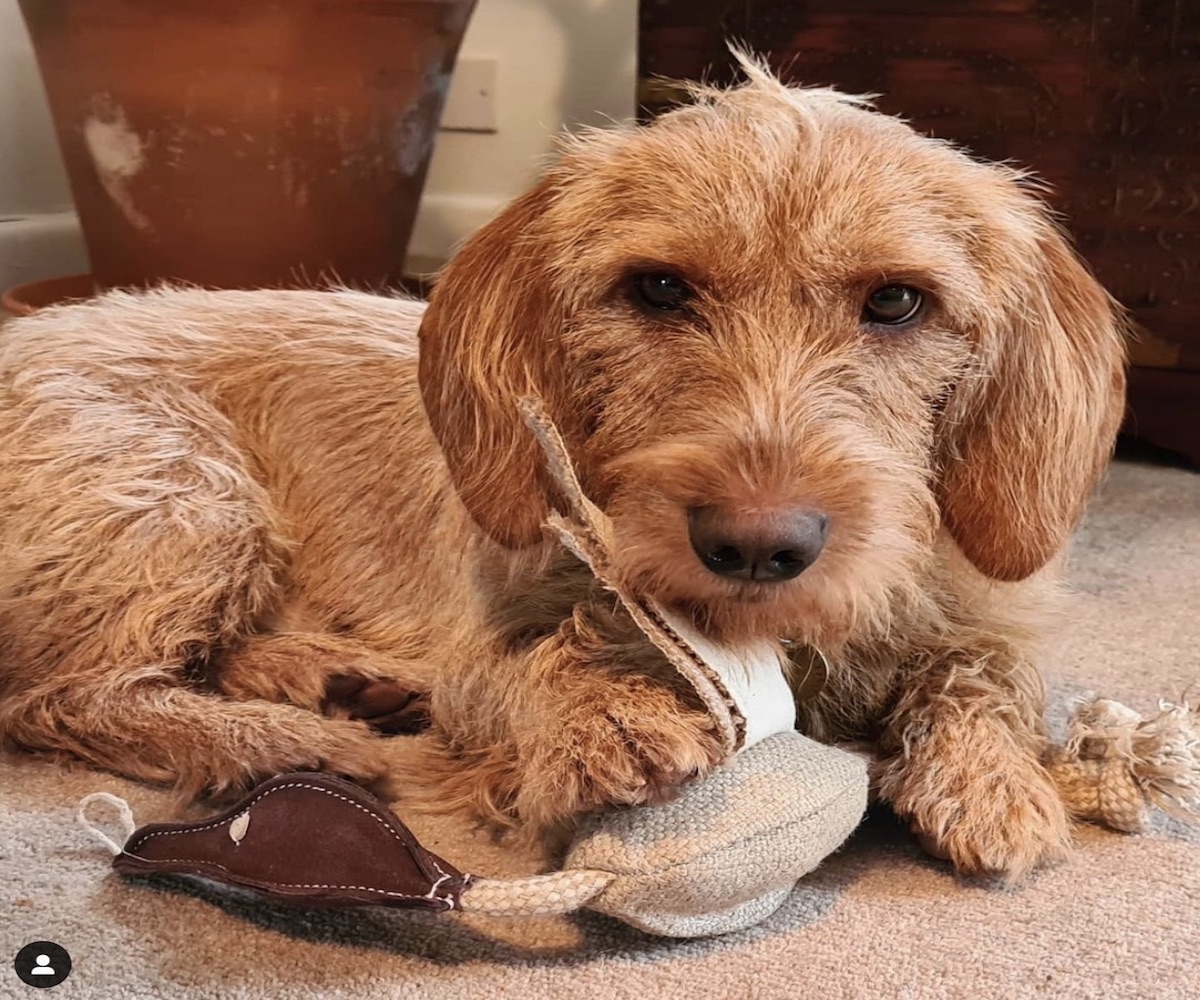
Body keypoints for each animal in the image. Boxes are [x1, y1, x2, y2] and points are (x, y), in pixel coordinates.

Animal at [0, 60, 1123, 883]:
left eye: (896, 301)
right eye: (658, 288)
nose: (757, 546)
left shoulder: (986, 604)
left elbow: (987, 669)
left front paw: (994, 776)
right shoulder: (480, 626)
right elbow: (514, 671)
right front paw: (600, 712)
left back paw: (328, 682)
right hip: (183, 490)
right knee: (60, 697)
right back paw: (288, 744)